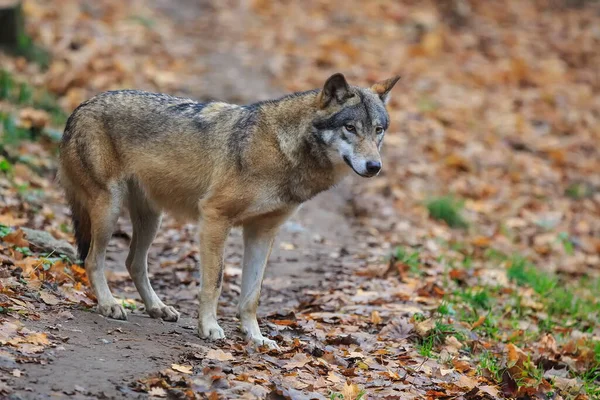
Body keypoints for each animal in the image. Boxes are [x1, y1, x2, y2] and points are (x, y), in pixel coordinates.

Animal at [58, 73, 400, 348]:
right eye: (350, 127)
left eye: (378, 130)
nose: (375, 166)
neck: (283, 152)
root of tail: (80, 108)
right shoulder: (214, 218)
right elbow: (215, 282)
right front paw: (209, 328)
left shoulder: (263, 232)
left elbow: (252, 295)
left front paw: (256, 337)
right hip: (109, 209)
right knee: (92, 259)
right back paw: (109, 304)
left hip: (151, 219)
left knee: (133, 262)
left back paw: (157, 308)